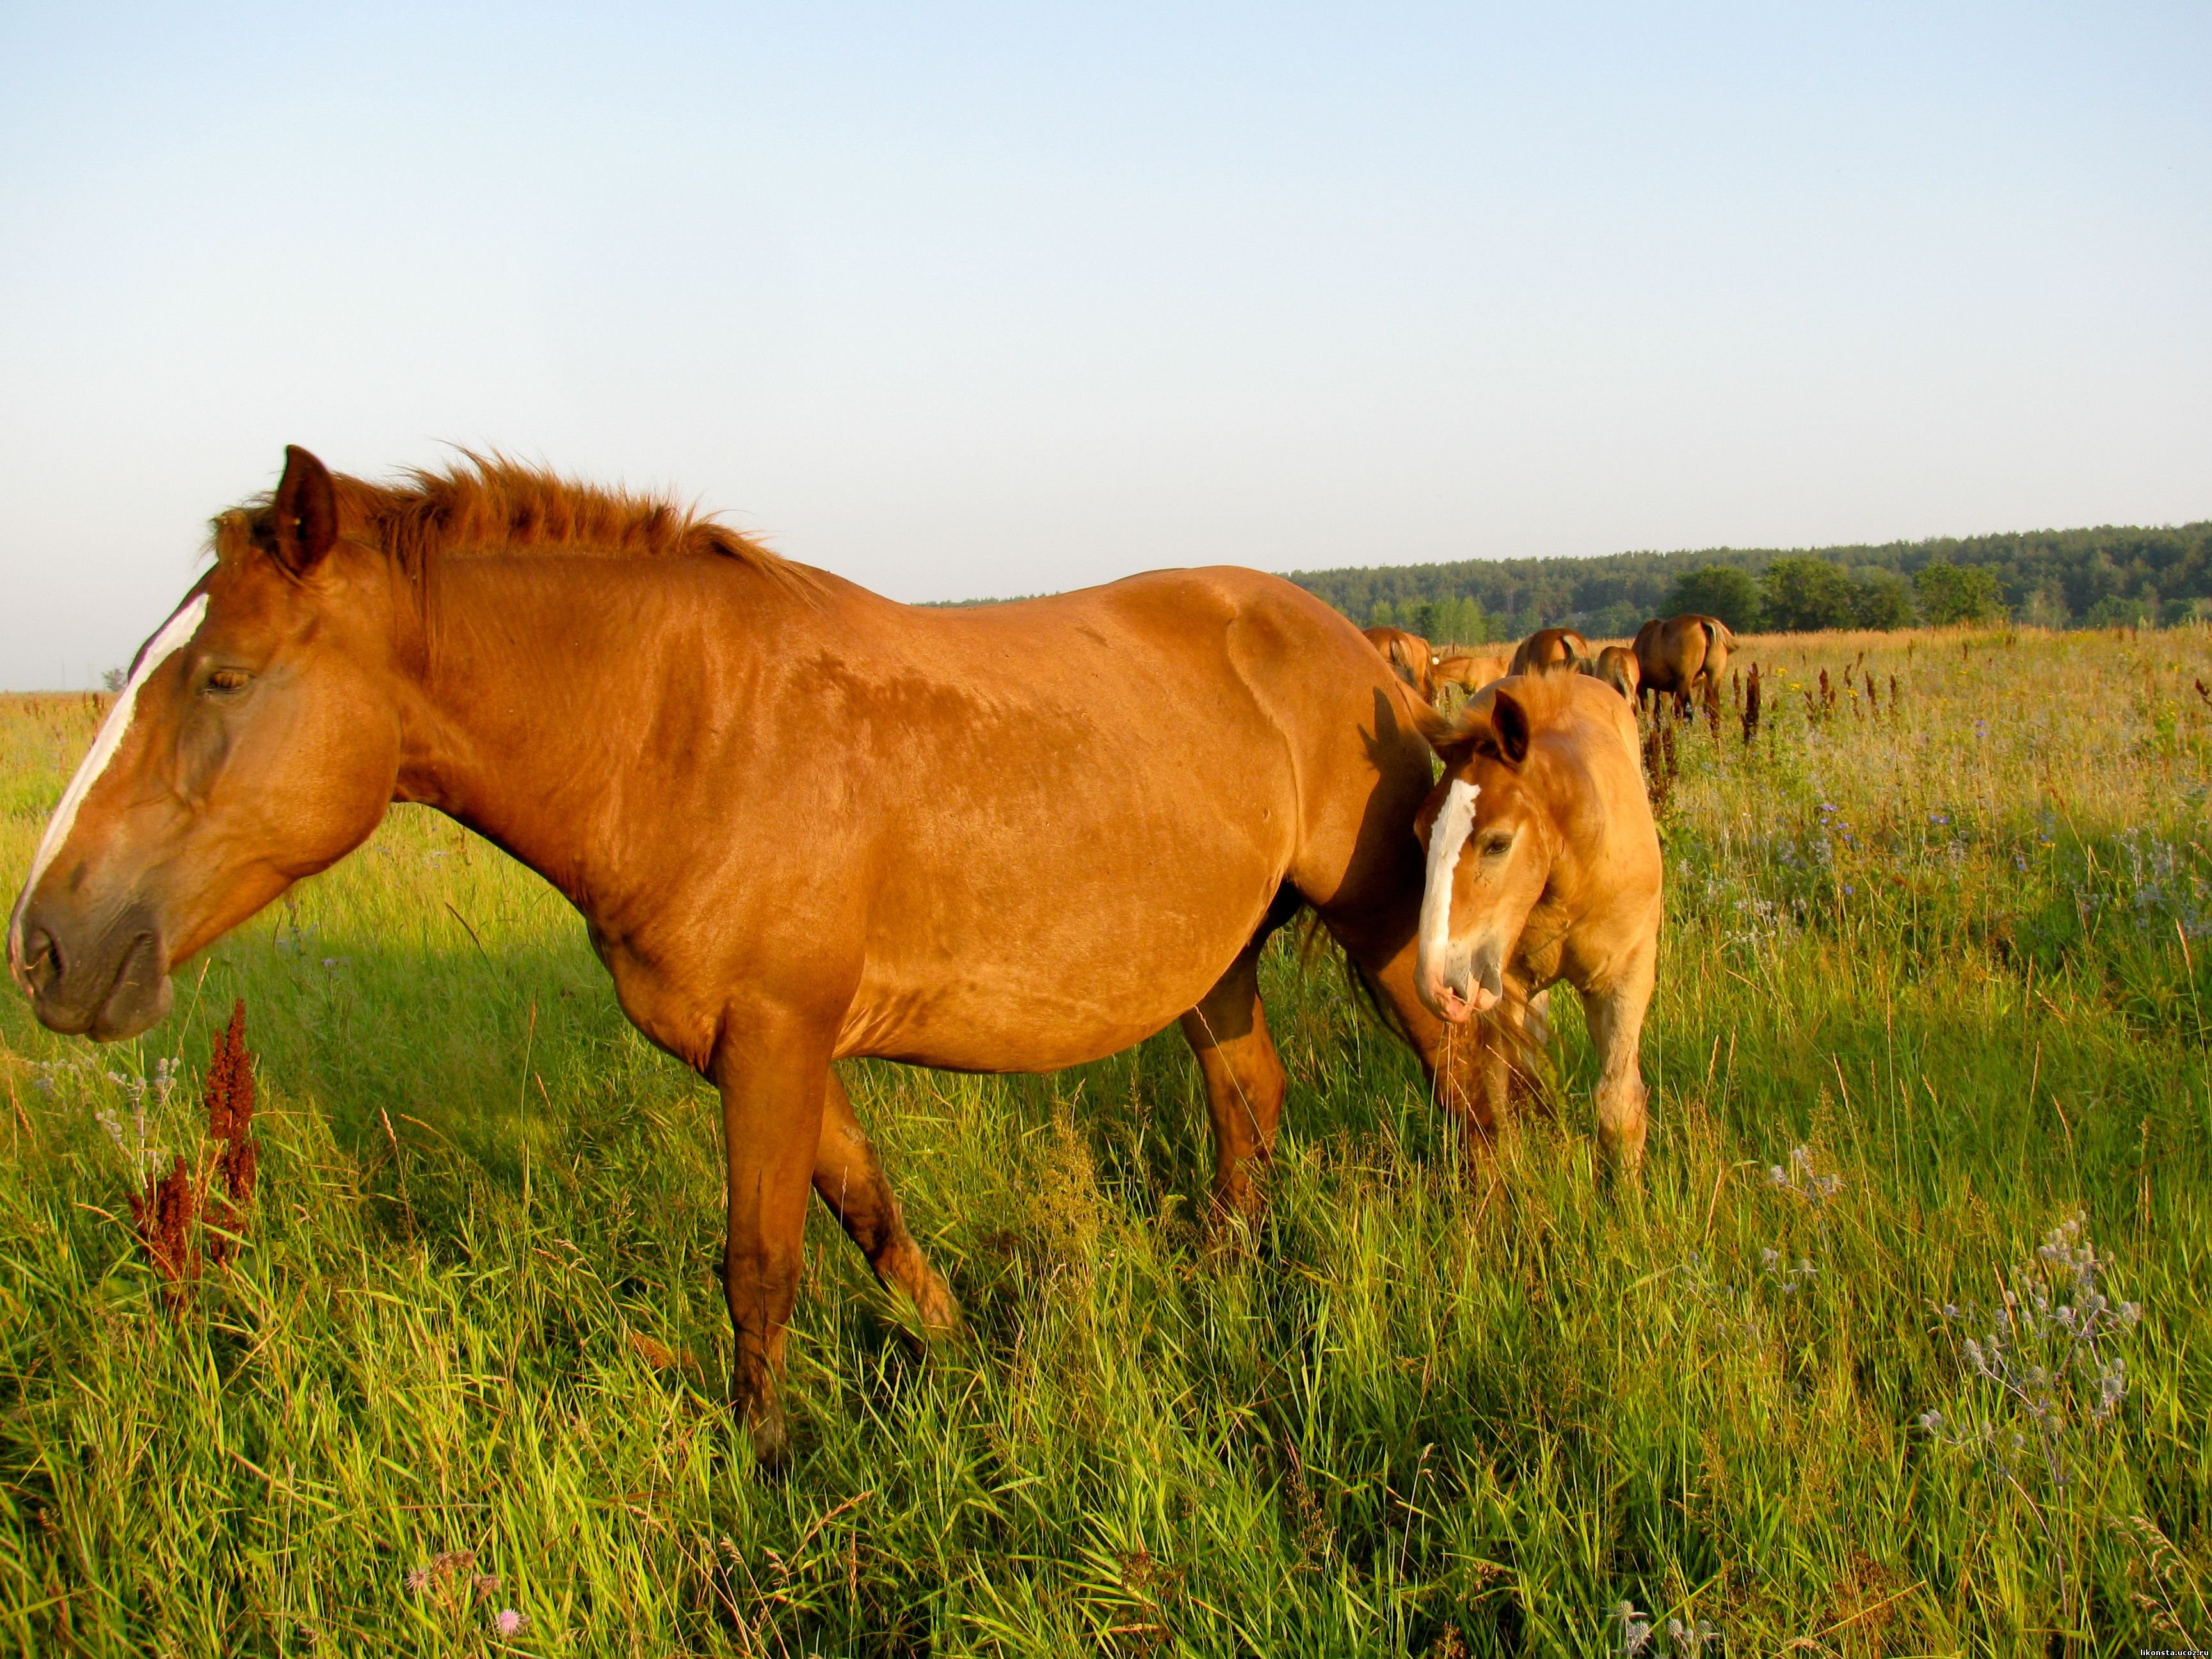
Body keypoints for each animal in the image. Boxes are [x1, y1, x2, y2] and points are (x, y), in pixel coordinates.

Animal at [1415, 672, 1663, 1167]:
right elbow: (1500, 1098)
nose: (1436, 985)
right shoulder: (1502, 987)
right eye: (1418, 833)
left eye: (1498, 843)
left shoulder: (1626, 977)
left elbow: (1619, 1107)